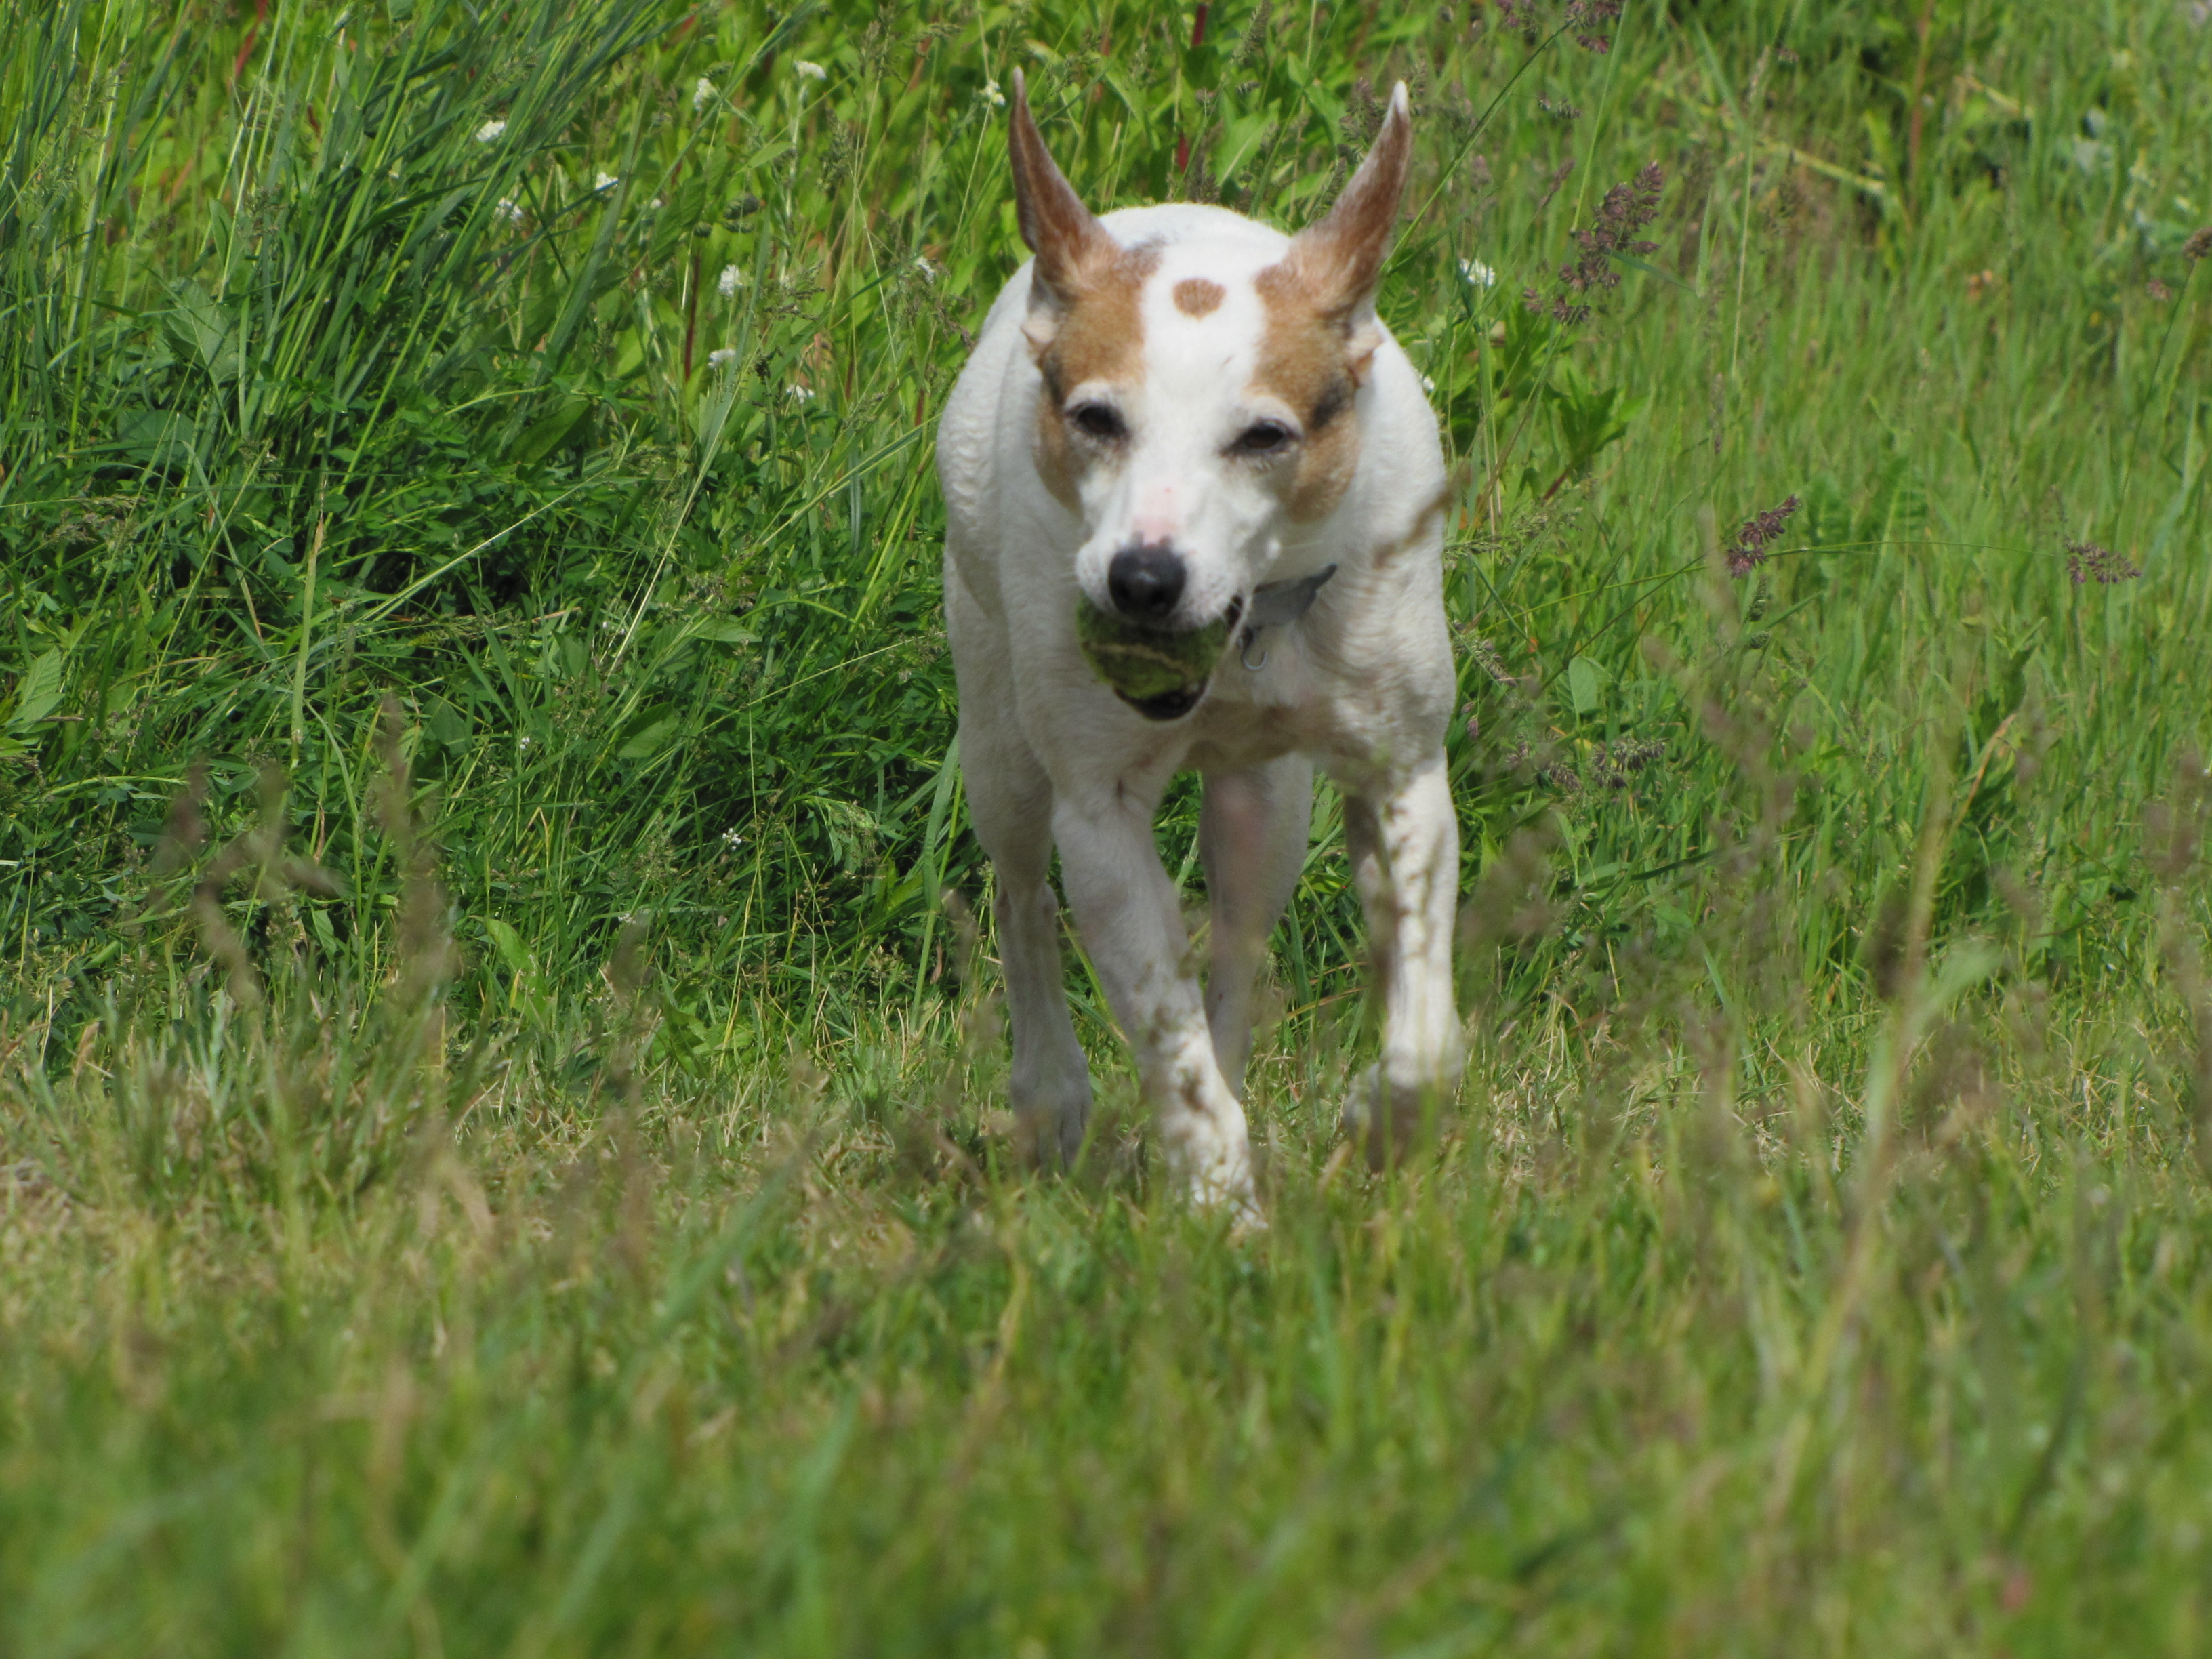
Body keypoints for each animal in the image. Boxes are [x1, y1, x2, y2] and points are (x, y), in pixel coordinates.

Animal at [937, 72, 1462, 1213]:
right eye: (1095, 418)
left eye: (1265, 436)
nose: (1143, 580)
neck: (1255, 624)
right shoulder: (1096, 816)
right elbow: (1160, 1028)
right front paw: (1220, 1207)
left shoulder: (1405, 773)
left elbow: (1425, 1046)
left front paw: (1375, 1121)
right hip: (1000, 744)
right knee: (1022, 901)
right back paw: (1054, 1098)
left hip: (1267, 811)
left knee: (1235, 947)